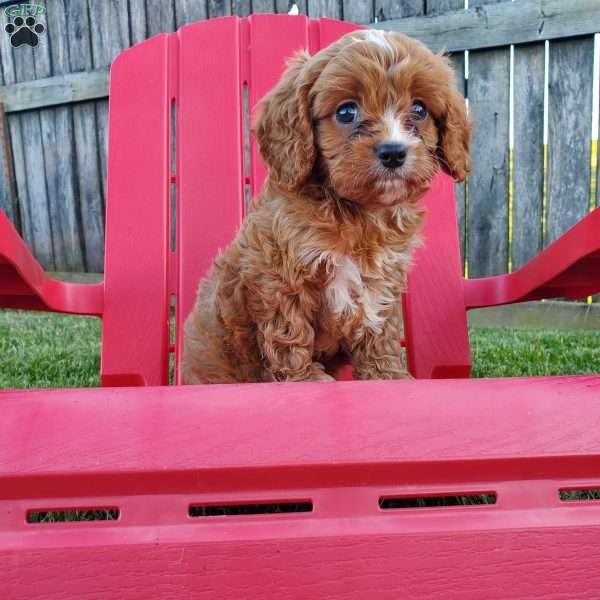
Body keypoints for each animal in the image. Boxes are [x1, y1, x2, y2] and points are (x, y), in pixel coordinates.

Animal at [180, 28, 472, 384]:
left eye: (419, 110)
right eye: (346, 112)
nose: (393, 152)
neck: (359, 214)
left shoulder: (381, 280)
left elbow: (380, 330)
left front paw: (387, 374)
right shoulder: (280, 275)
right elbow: (289, 330)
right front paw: (305, 379)